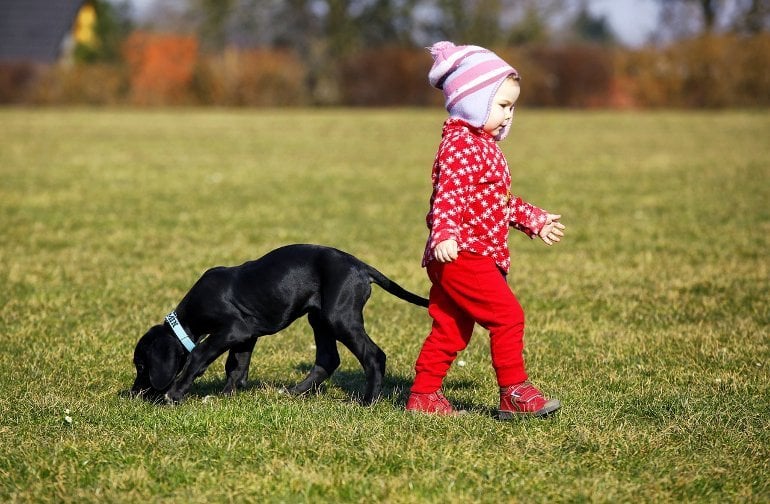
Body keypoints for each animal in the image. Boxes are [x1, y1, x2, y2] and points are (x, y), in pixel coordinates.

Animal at [130, 244, 426, 406]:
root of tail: (360, 266)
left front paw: (175, 393)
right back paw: (294, 392)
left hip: (339, 316)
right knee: (327, 359)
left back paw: (368, 401)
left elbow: (200, 355)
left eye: (142, 366)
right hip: (319, 318)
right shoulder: (246, 335)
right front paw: (226, 395)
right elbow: (236, 366)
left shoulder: (233, 329)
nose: (134, 393)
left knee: (374, 355)